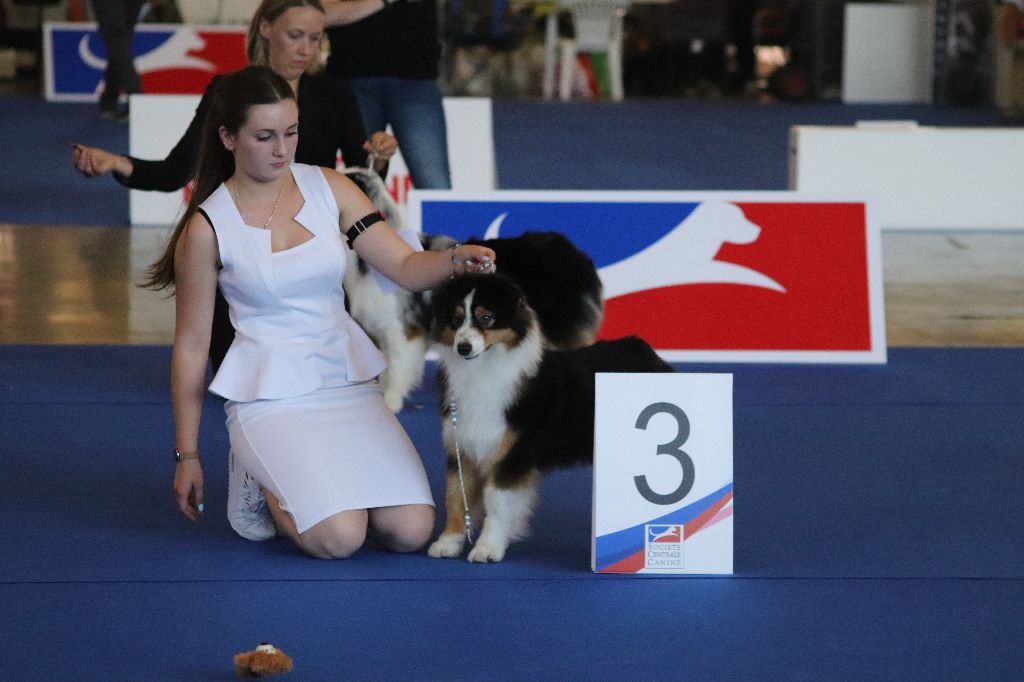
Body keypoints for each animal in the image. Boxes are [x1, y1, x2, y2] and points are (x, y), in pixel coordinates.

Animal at [426, 273, 674, 563]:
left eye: (486, 318)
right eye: (455, 320)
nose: (463, 347)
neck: (482, 369)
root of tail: (645, 350)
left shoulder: (511, 453)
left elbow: (497, 502)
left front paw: (488, 547)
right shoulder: (461, 446)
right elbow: (455, 496)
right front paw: (448, 542)